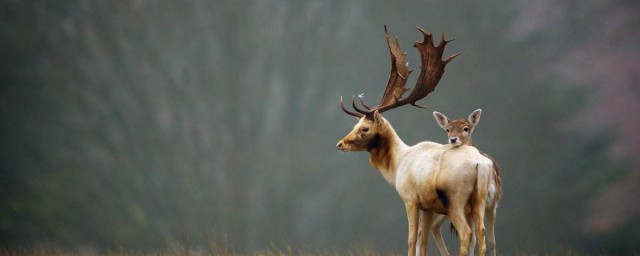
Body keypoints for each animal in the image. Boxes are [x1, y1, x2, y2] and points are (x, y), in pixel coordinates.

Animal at [338, 24, 492, 256]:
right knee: (482, 234)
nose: (340, 143)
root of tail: (481, 164)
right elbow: (423, 240)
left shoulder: (410, 199)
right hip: (480, 200)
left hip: (456, 199)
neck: (397, 165)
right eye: (355, 126)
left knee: (467, 234)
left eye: (364, 128)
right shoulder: (427, 206)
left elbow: (412, 239)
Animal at [430, 109, 504, 256]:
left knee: (432, 226)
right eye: (447, 129)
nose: (453, 139)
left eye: (466, 128)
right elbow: (473, 240)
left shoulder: (492, 203)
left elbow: (491, 241)